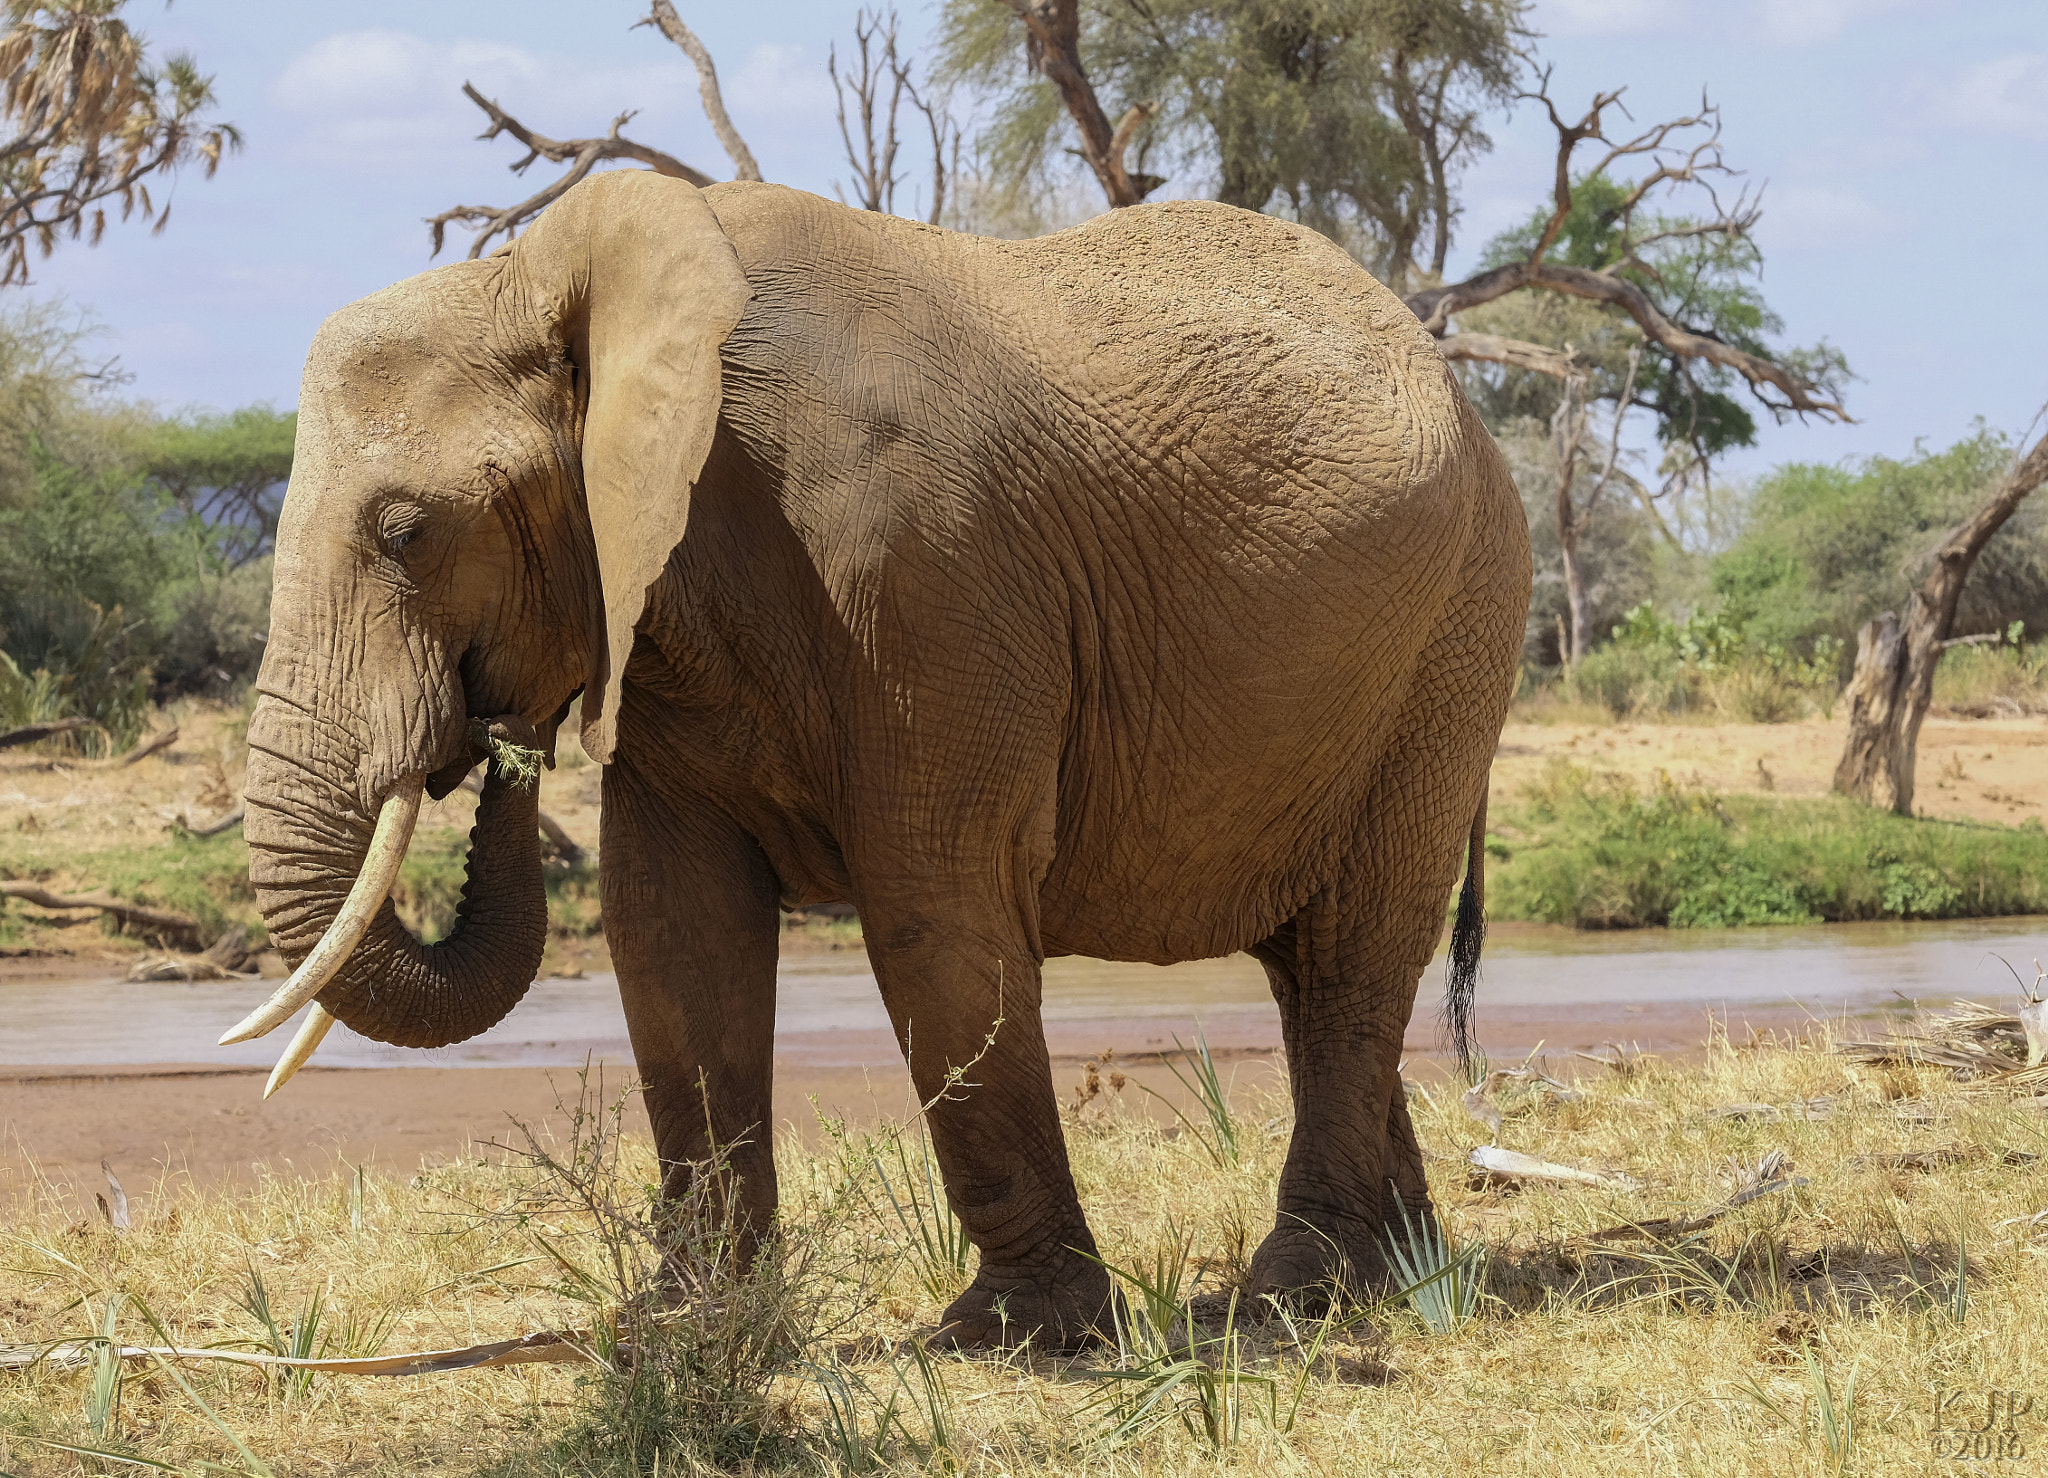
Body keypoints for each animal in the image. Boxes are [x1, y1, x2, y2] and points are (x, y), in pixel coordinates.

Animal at [232, 169, 1531, 1351]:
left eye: (407, 533)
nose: (498, 731)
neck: (559, 282)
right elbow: (670, 925)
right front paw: (681, 1326)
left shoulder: (920, 563)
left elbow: (931, 903)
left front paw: (1015, 1336)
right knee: (1314, 967)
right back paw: (1400, 1276)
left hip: (1453, 640)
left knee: (1352, 949)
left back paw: (1294, 1294)